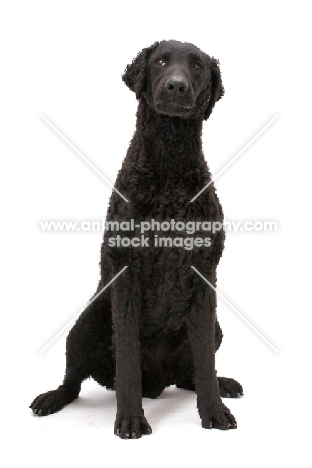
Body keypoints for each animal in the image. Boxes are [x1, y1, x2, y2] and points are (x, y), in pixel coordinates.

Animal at [30, 40, 243, 438]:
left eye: (196, 67)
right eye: (160, 61)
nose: (176, 85)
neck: (169, 170)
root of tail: (158, 383)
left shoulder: (204, 278)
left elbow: (205, 362)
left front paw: (213, 411)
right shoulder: (127, 276)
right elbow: (127, 361)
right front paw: (130, 419)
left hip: (216, 328)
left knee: (192, 373)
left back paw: (223, 384)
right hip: (86, 323)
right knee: (73, 380)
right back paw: (52, 398)